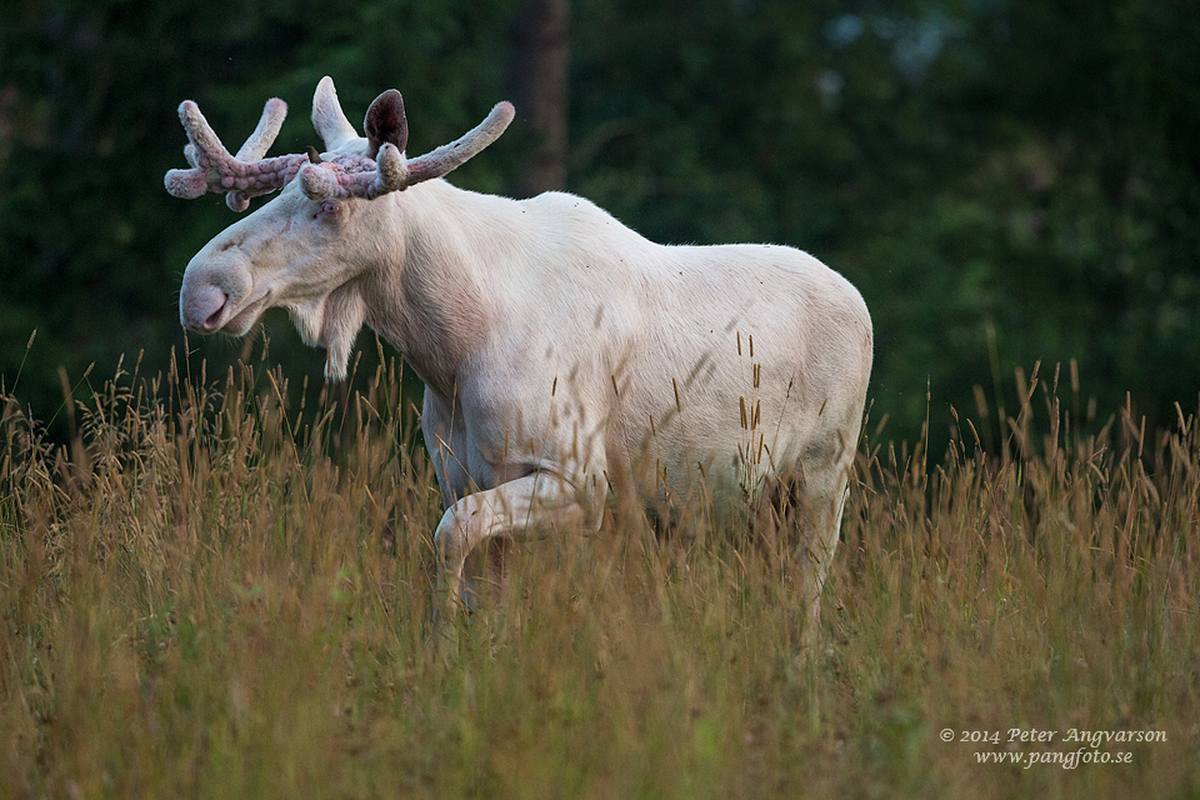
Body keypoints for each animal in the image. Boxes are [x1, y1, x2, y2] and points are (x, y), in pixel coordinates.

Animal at [166, 76, 873, 652]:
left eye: (331, 205)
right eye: (282, 188)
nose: (201, 288)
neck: (451, 344)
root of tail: (861, 306)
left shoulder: (581, 482)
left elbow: (450, 539)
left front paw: (438, 653)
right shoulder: (464, 477)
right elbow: (487, 596)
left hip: (822, 478)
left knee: (809, 597)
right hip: (753, 505)